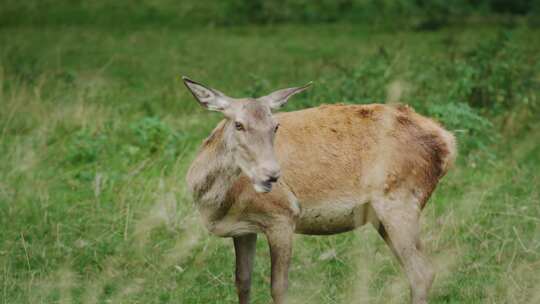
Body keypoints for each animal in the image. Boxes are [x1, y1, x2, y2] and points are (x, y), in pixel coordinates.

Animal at [184, 76, 458, 304]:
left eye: (275, 126)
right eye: (238, 125)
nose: (271, 175)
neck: (219, 203)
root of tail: (447, 141)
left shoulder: (282, 216)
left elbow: (278, 288)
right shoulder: (244, 228)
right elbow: (243, 282)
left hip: (400, 200)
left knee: (422, 272)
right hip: (381, 215)